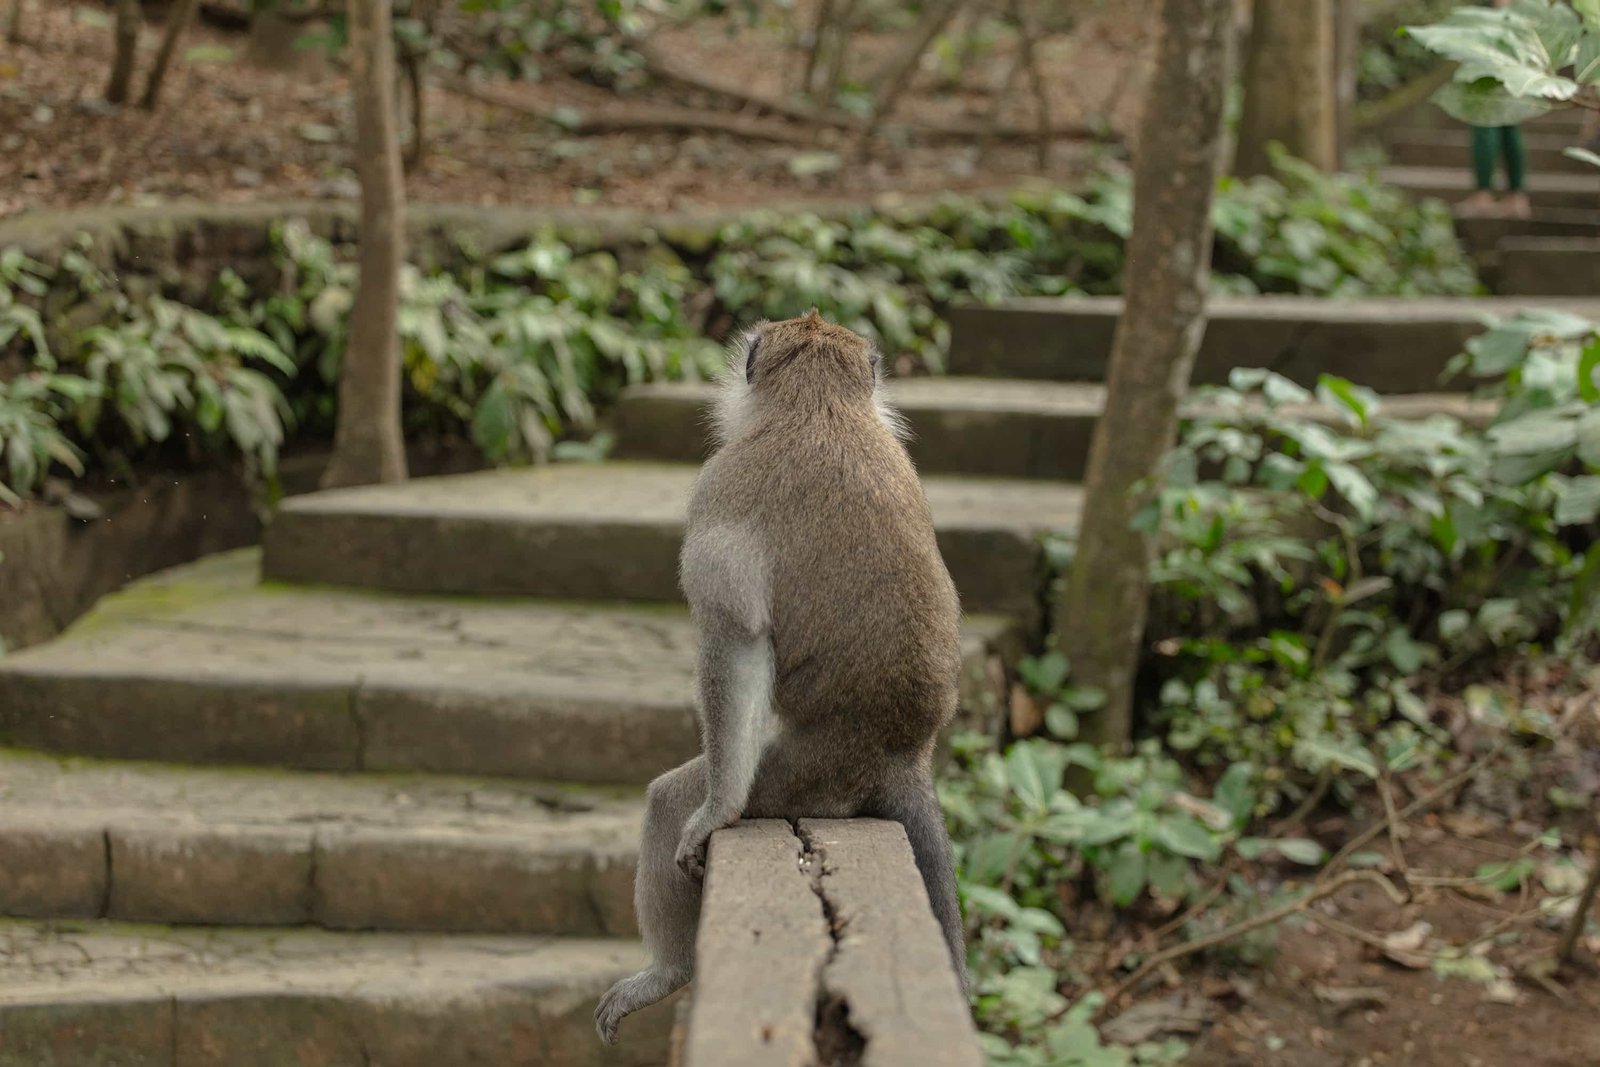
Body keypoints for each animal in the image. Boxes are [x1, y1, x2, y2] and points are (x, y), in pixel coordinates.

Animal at [592, 308, 960, 1043]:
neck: (820, 407)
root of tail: (902, 754)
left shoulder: (719, 487)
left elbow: (734, 634)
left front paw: (715, 812)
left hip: (802, 774)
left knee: (667, 798)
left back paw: (668, 971)